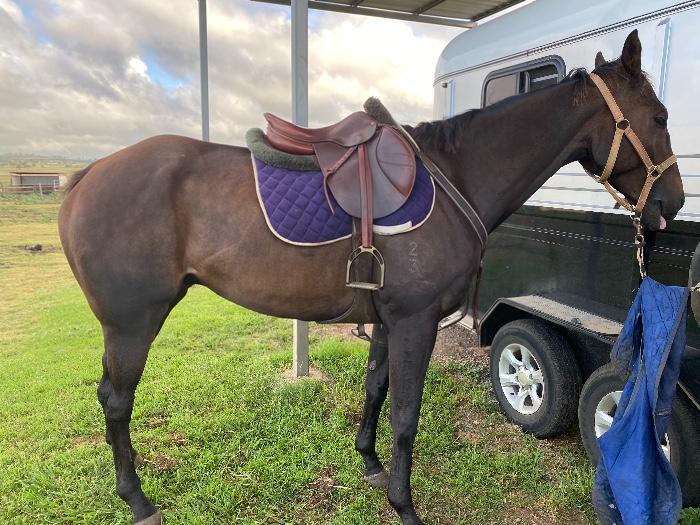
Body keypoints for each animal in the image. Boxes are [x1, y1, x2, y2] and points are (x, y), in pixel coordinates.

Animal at [58, 31, 683, 525]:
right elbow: (407, 412)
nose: (672, 203)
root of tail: (87, 174)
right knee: (116, 400)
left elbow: (376, 389)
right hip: (132, 323)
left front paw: (371, 465)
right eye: (659, 118)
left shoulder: (388, 320)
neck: (457, 174)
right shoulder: (416, 322)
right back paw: (137, 500)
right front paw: (404, 505)